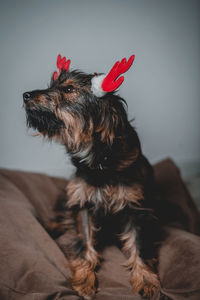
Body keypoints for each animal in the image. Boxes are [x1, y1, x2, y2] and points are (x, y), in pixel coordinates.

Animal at [23, 54, 161, 300]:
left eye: (69, 89)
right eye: (52, 85)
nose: (26, 95)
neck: (100, 164)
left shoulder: (137, 208)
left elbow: (140, 245)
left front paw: (146, 280)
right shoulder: (83, 203)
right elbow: (85, 242)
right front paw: (84, 279)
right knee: (61, 215)